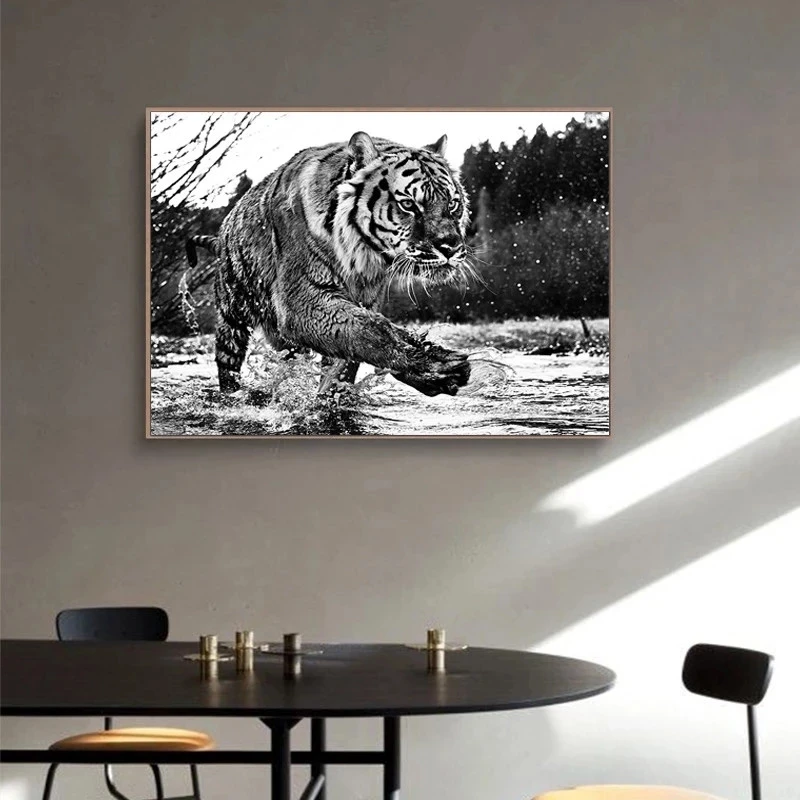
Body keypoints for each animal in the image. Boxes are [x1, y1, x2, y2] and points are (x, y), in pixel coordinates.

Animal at [186, 131, 473, 398]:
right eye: (408, 205)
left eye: (452, 204)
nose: (450, 246)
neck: (362, 256)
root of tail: (223, 229)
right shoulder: (300, 301)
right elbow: (371, 331)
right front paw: (433, 365)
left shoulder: (362, 300)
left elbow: (350, 355)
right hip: (232, 314)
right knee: (228, 360)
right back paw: (231, 392)